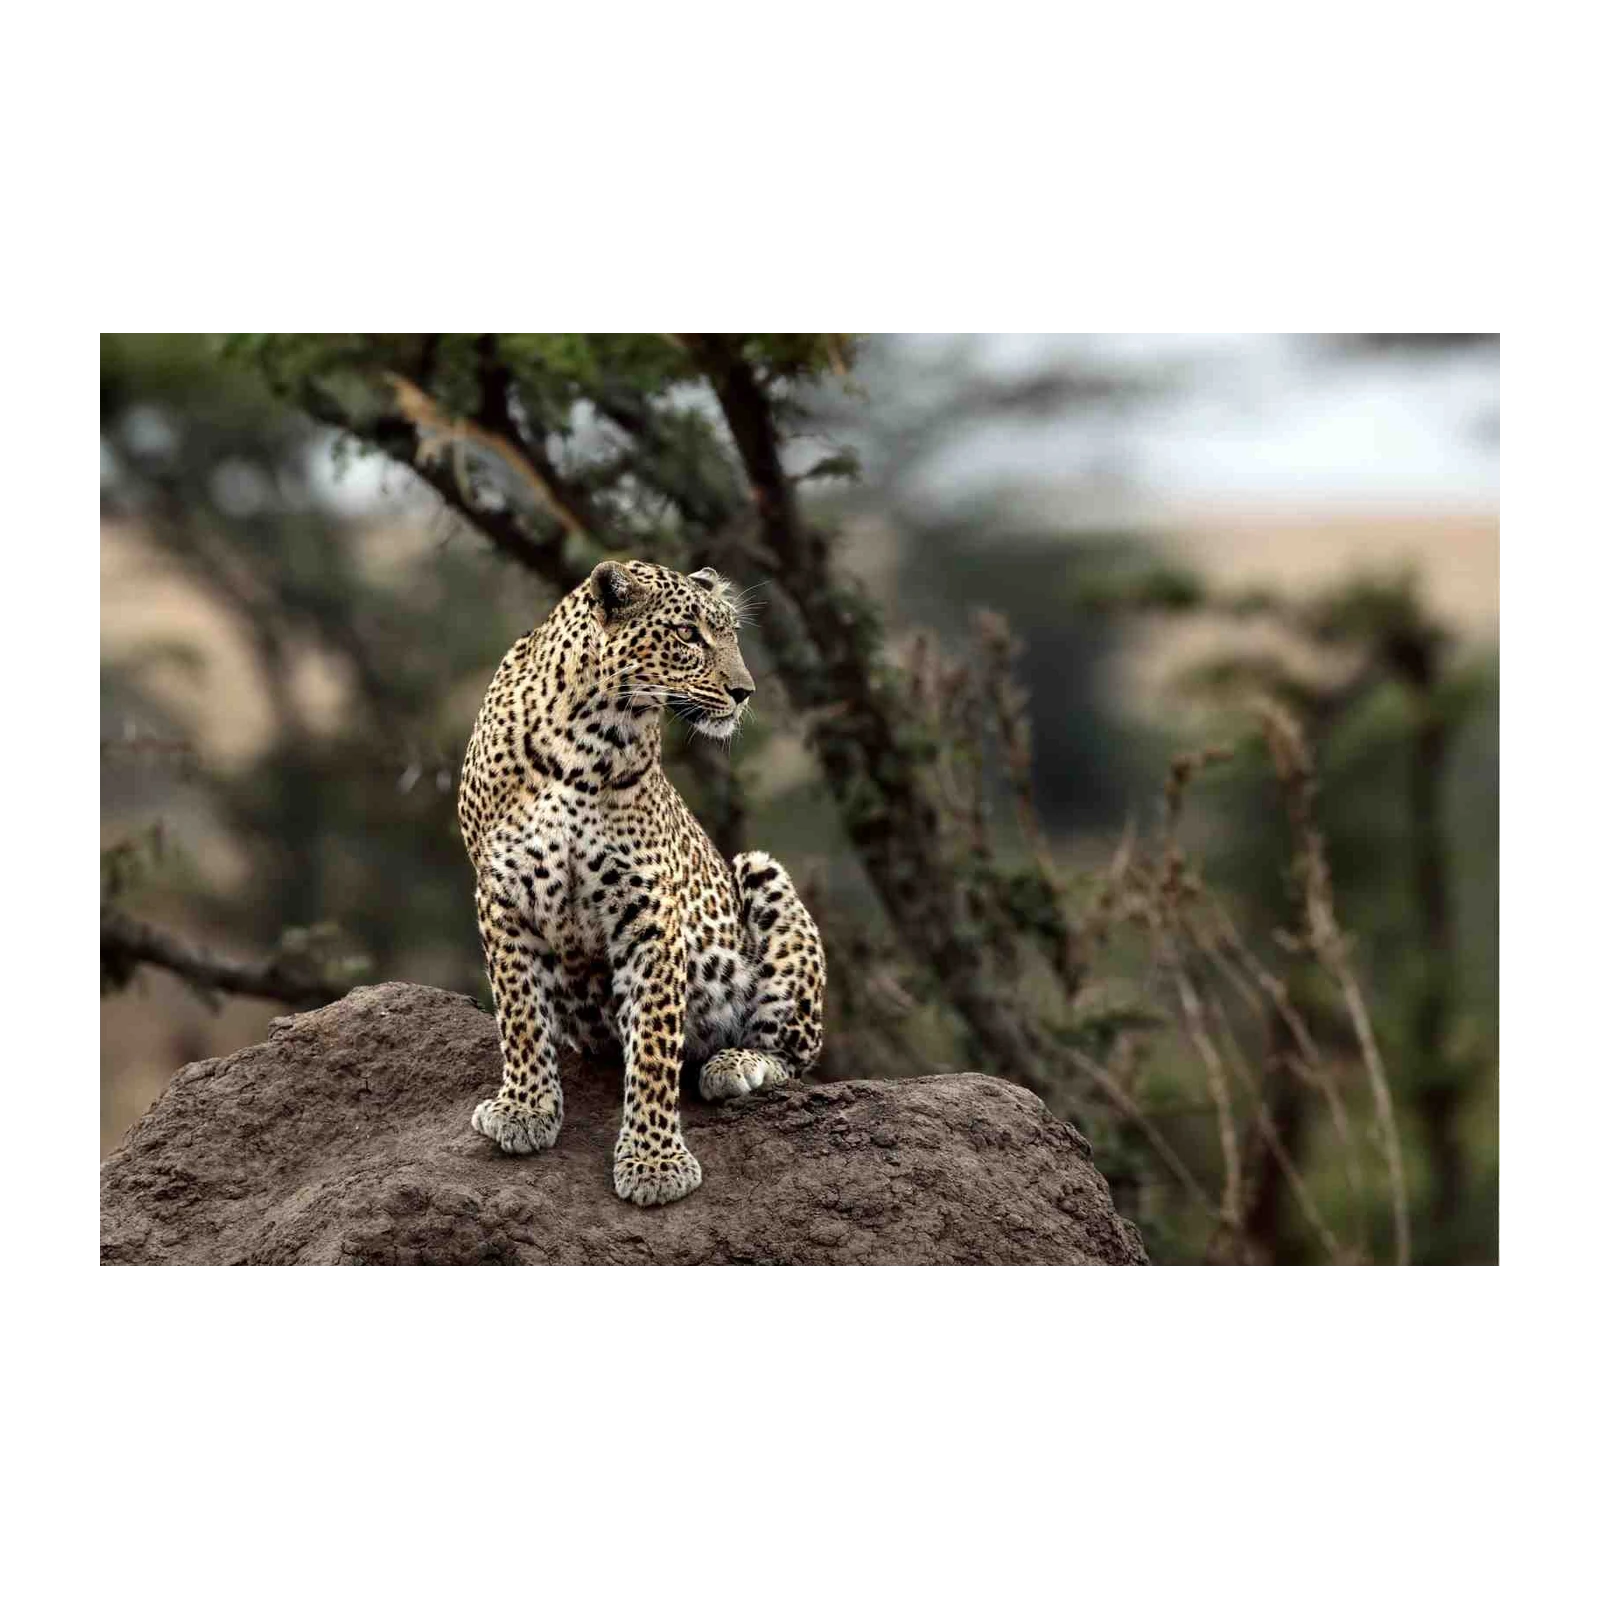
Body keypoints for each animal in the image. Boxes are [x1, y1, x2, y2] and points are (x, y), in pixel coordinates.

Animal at [457, 558, 827, 1207]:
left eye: (730, 634)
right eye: (688, 635)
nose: (746, 692)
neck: (585, 738)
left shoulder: (649, 912)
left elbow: (654, 1045)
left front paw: (654, 1163)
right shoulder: (501, 894)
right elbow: (519, 1011)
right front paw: (524, 1110)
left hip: (762, 873)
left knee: (792, 1054)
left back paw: (736, 1065)